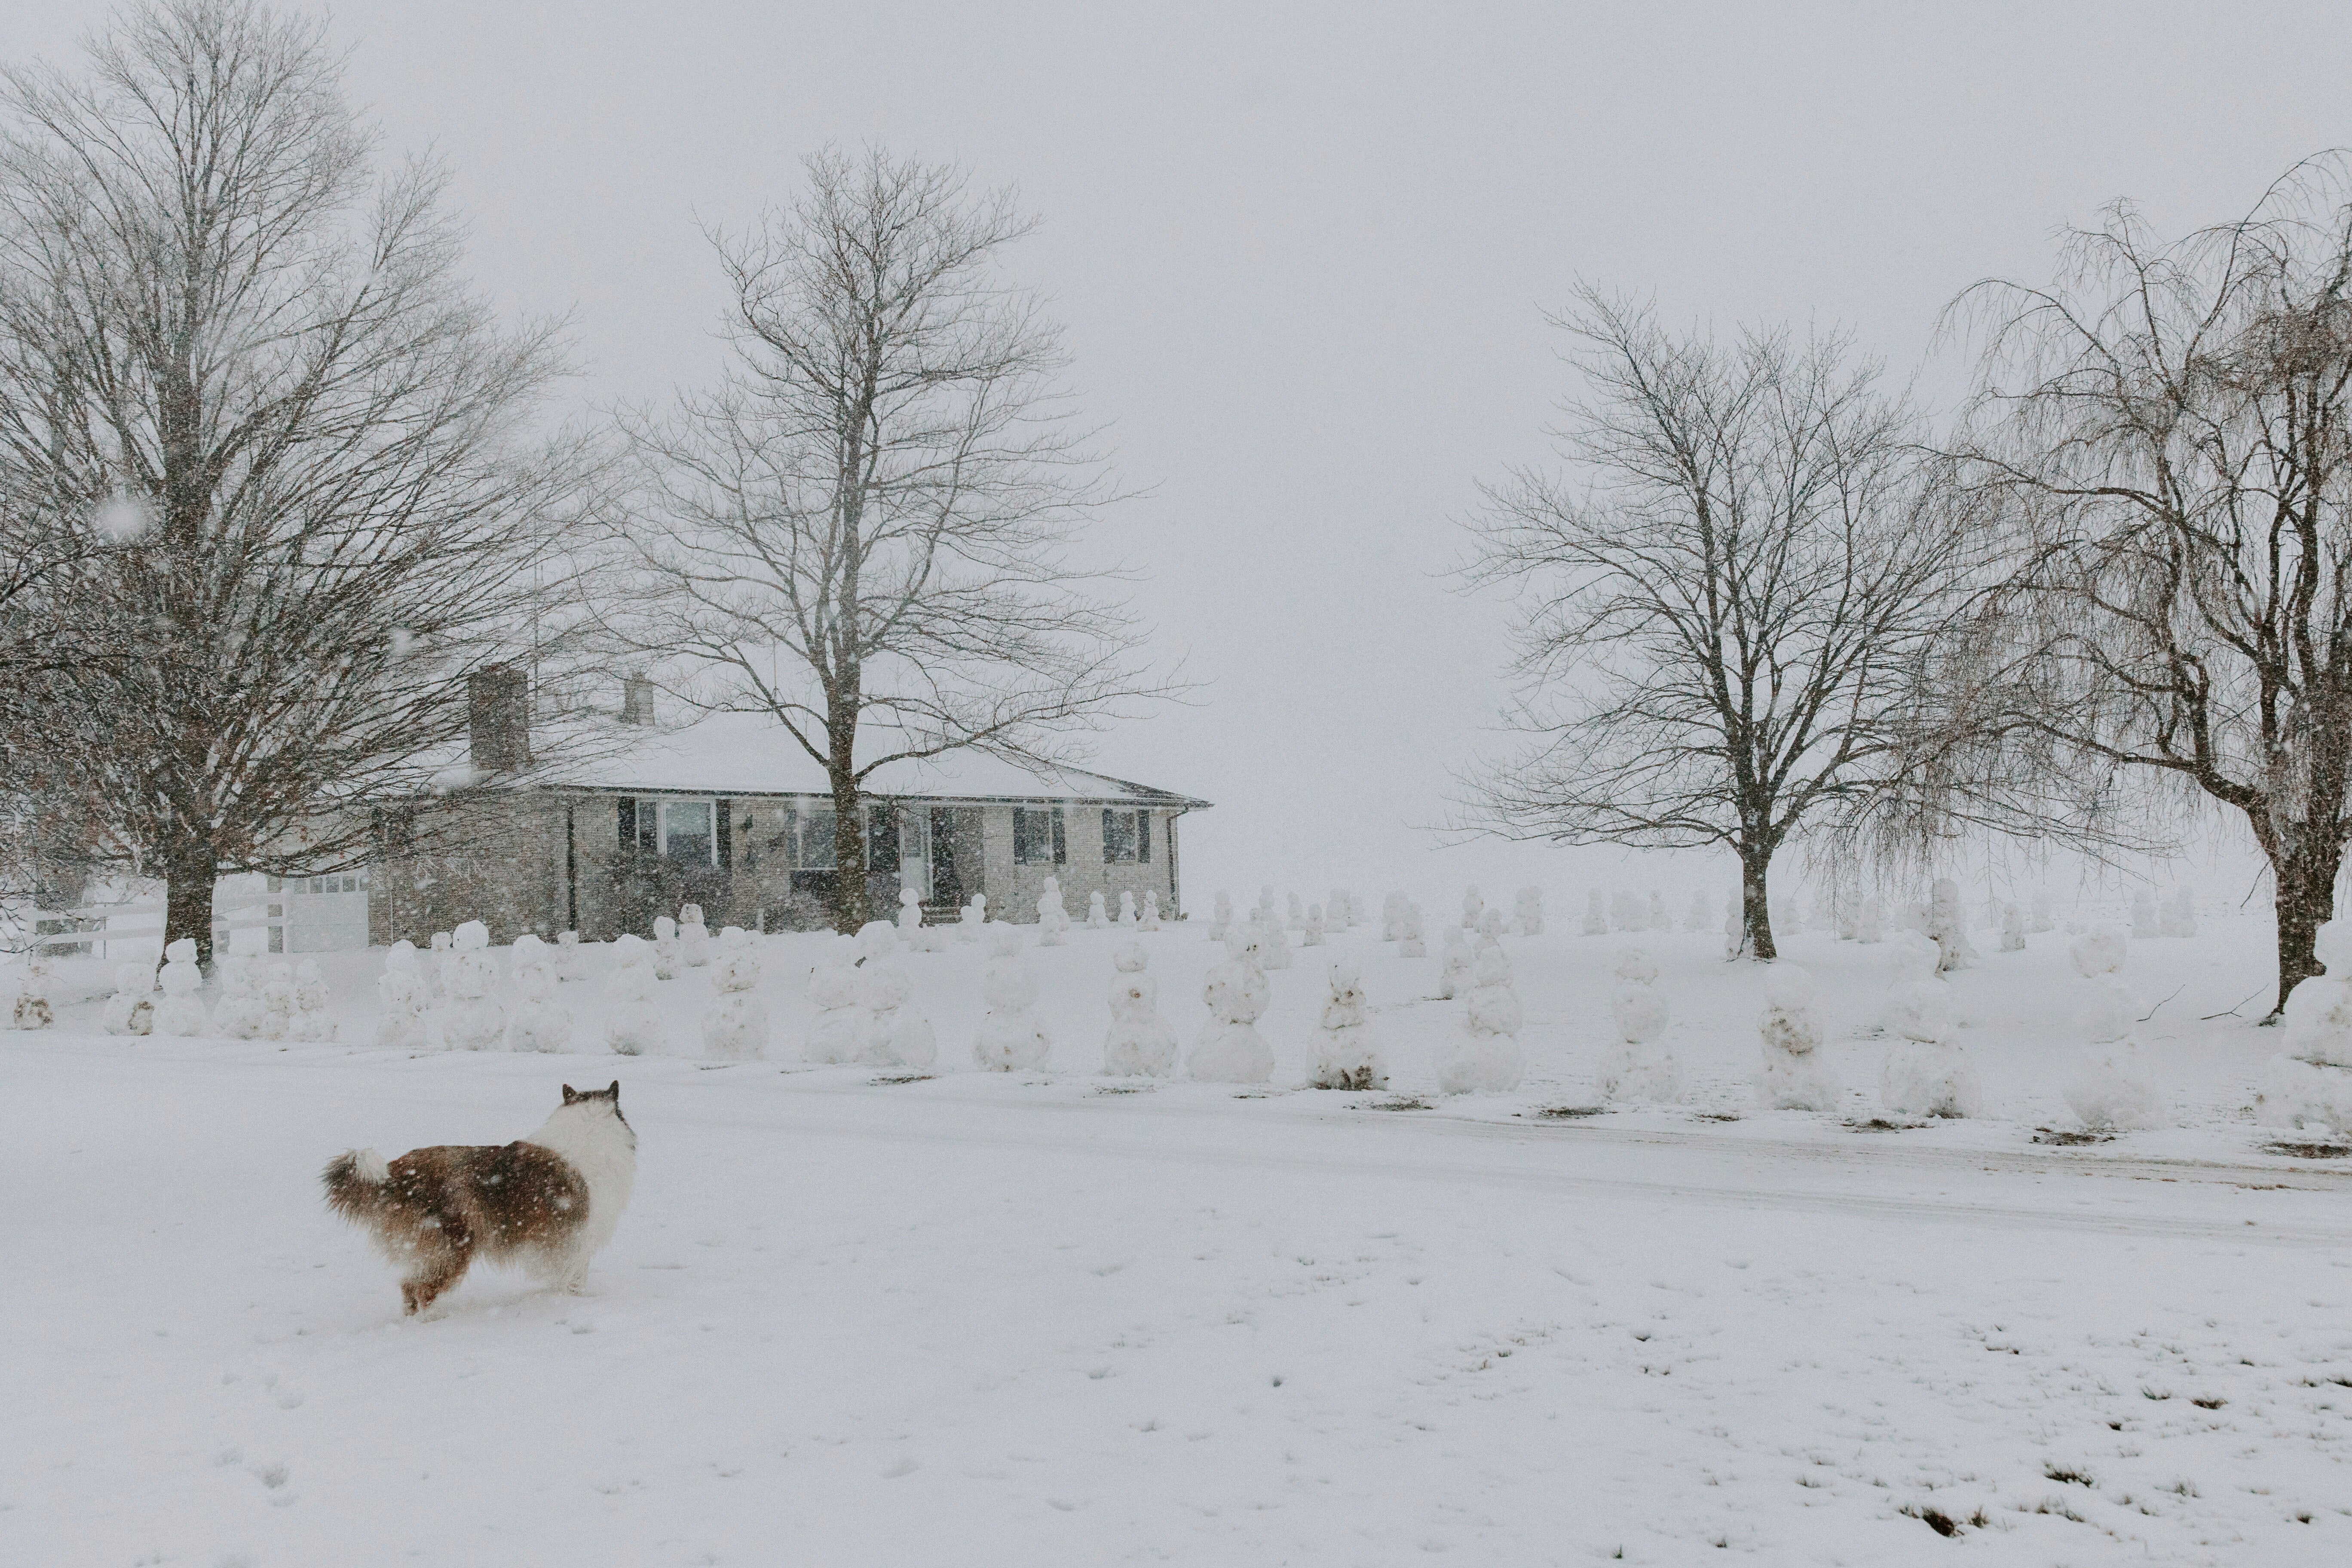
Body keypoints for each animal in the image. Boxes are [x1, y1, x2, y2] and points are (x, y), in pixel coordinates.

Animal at [322, 1081, 640, 1316]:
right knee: (423, 1290)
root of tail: (393, 1174)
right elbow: (575, 1279)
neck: (590, 1128)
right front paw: (575, 1301)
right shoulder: (578, 1239)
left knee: (409, 1288)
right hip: (454, 1245)